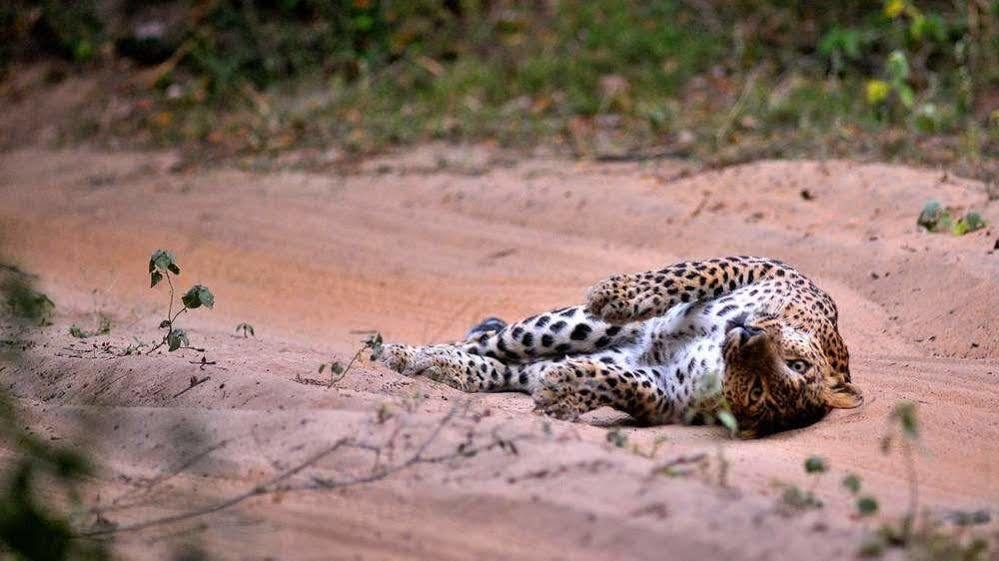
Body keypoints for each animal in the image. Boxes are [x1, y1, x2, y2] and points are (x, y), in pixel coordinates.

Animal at [378, 255, 864, 438]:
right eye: (797, 363)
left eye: (760, 392)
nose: (749, 335)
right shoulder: (765, 267)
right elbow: (687, 274)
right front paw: (616, 294)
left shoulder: (665, 394)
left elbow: (629, 384)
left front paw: (565, 389)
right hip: (567, 327)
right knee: (489, 341)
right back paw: (402, 353)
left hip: (565, 348)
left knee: (503, 368)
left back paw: (440, 366)